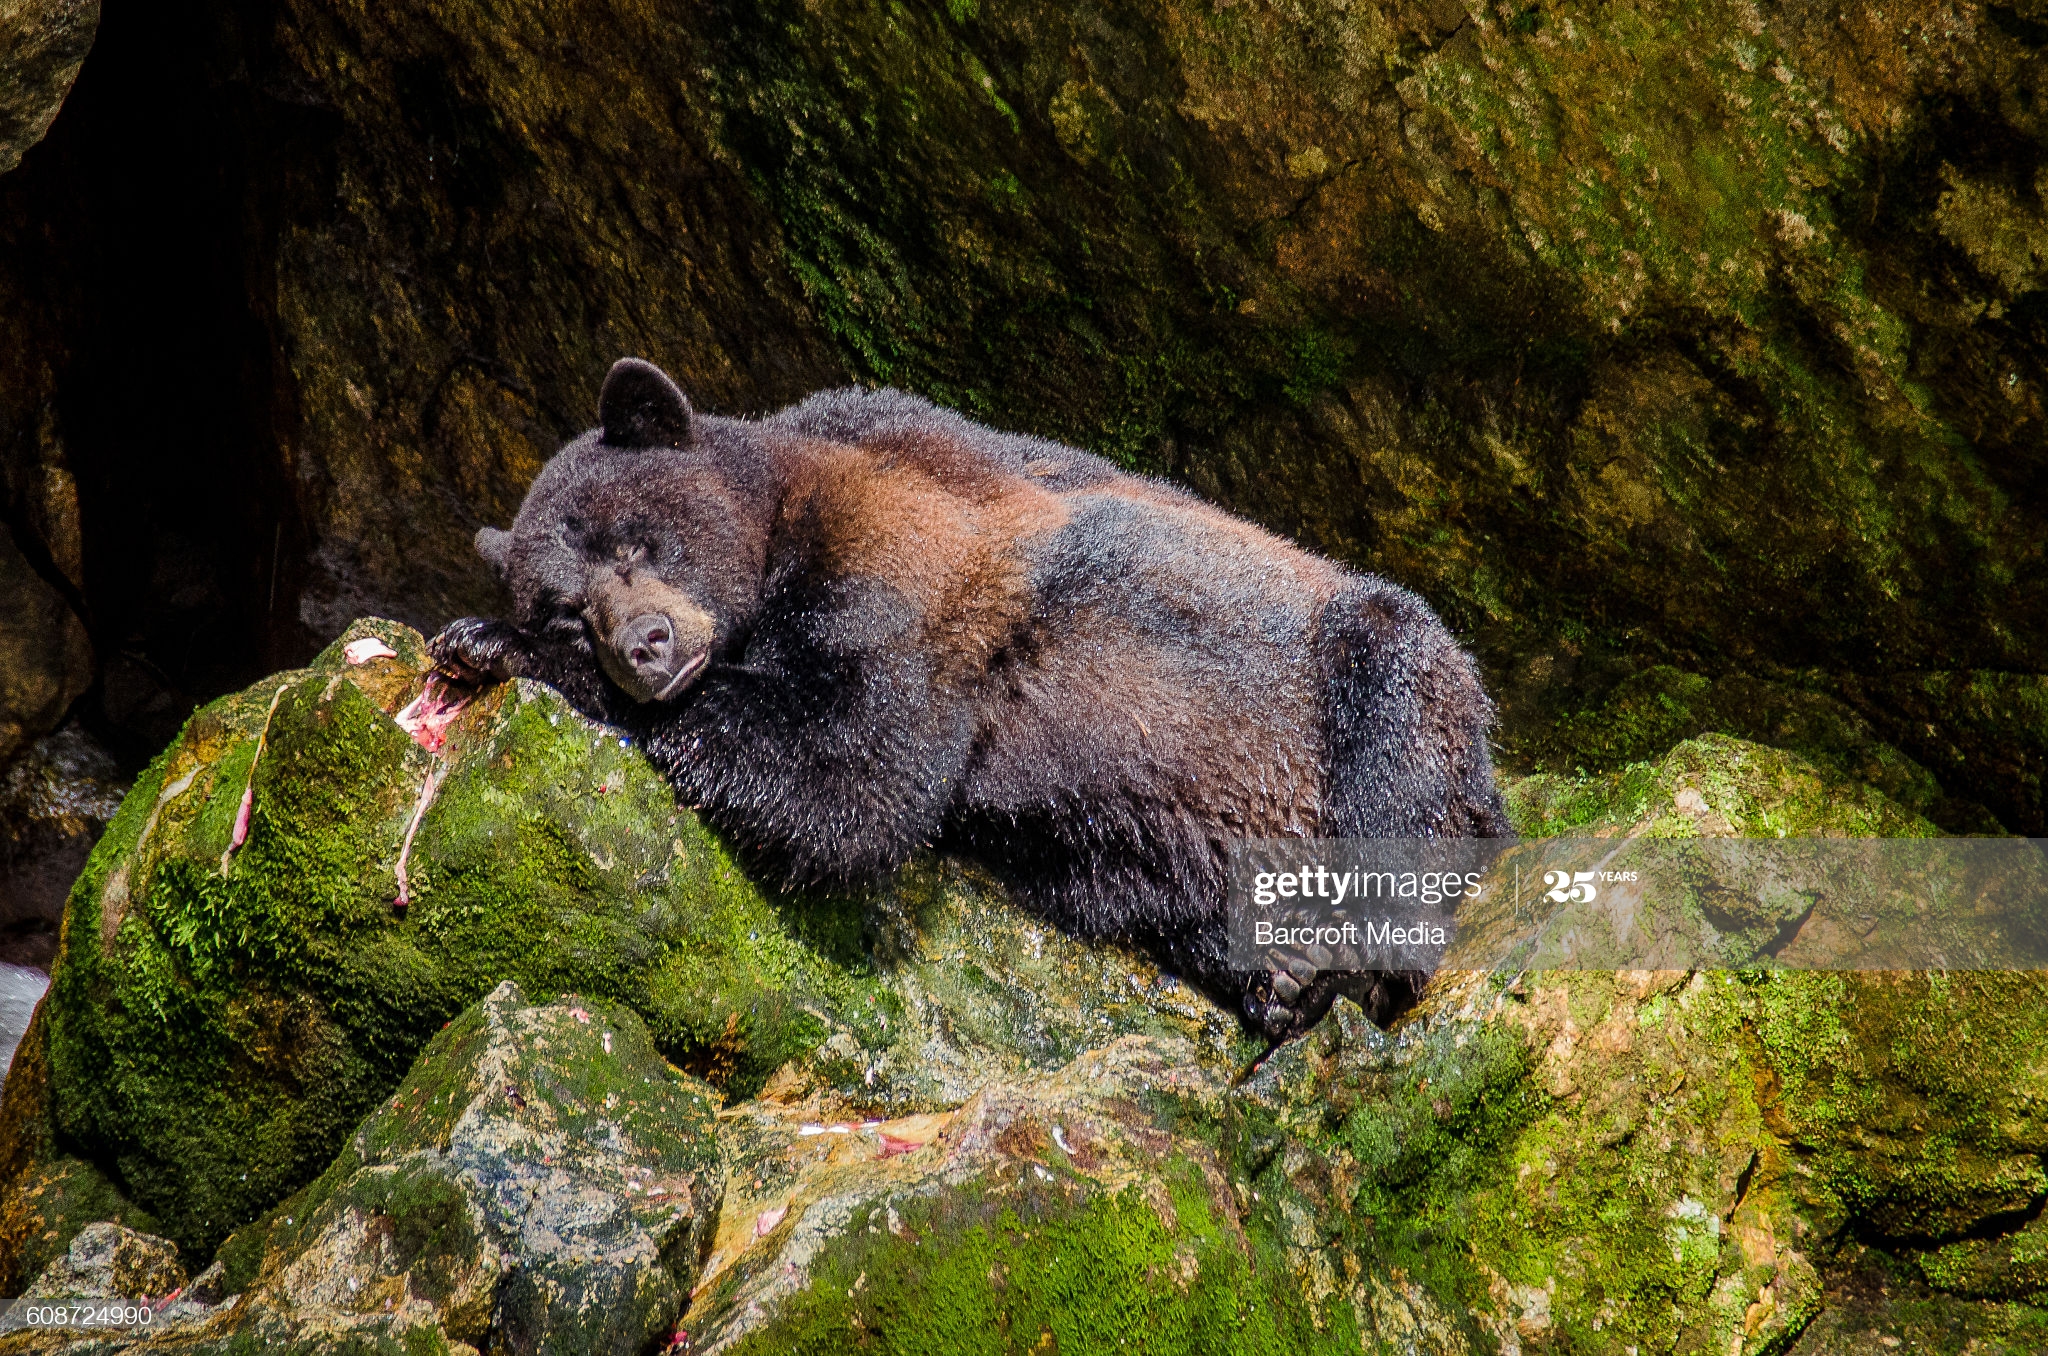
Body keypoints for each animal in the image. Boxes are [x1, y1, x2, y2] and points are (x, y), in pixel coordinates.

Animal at [429, 358, 1511, 1041]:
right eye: (569, 606)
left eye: (634, 537)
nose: (643, 647)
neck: (782, 518)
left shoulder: (910, 559)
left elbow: (854, 768)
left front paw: (485, 644)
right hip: (1140, 852)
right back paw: (1275, 978)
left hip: (1357, 675)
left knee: (1399, 736)